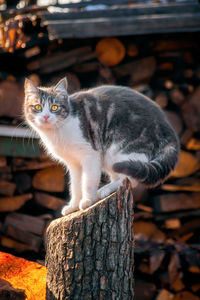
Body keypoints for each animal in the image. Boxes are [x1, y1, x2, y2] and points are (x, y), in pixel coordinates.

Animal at [23, 76, 180, 214]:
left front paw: (87, 201)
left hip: (121, 151)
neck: (57, 132)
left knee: (130, 179)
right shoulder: (73, 164)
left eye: (55, 107)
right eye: (38, 107)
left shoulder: (90, 155)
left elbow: (88, 181)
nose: (46, 116)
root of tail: (167, 126)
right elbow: (75, 186)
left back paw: (105, 190)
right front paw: (73, 206)